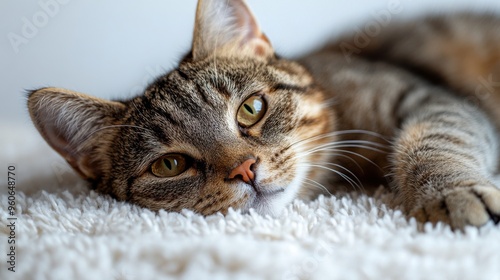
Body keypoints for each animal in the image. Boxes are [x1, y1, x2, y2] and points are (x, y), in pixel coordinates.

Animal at [28, 0, 500, 230]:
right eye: (170, 164)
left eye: (251, 109)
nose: (244, 168)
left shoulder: (426, 98)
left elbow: (435, 141)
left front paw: (452, 192)